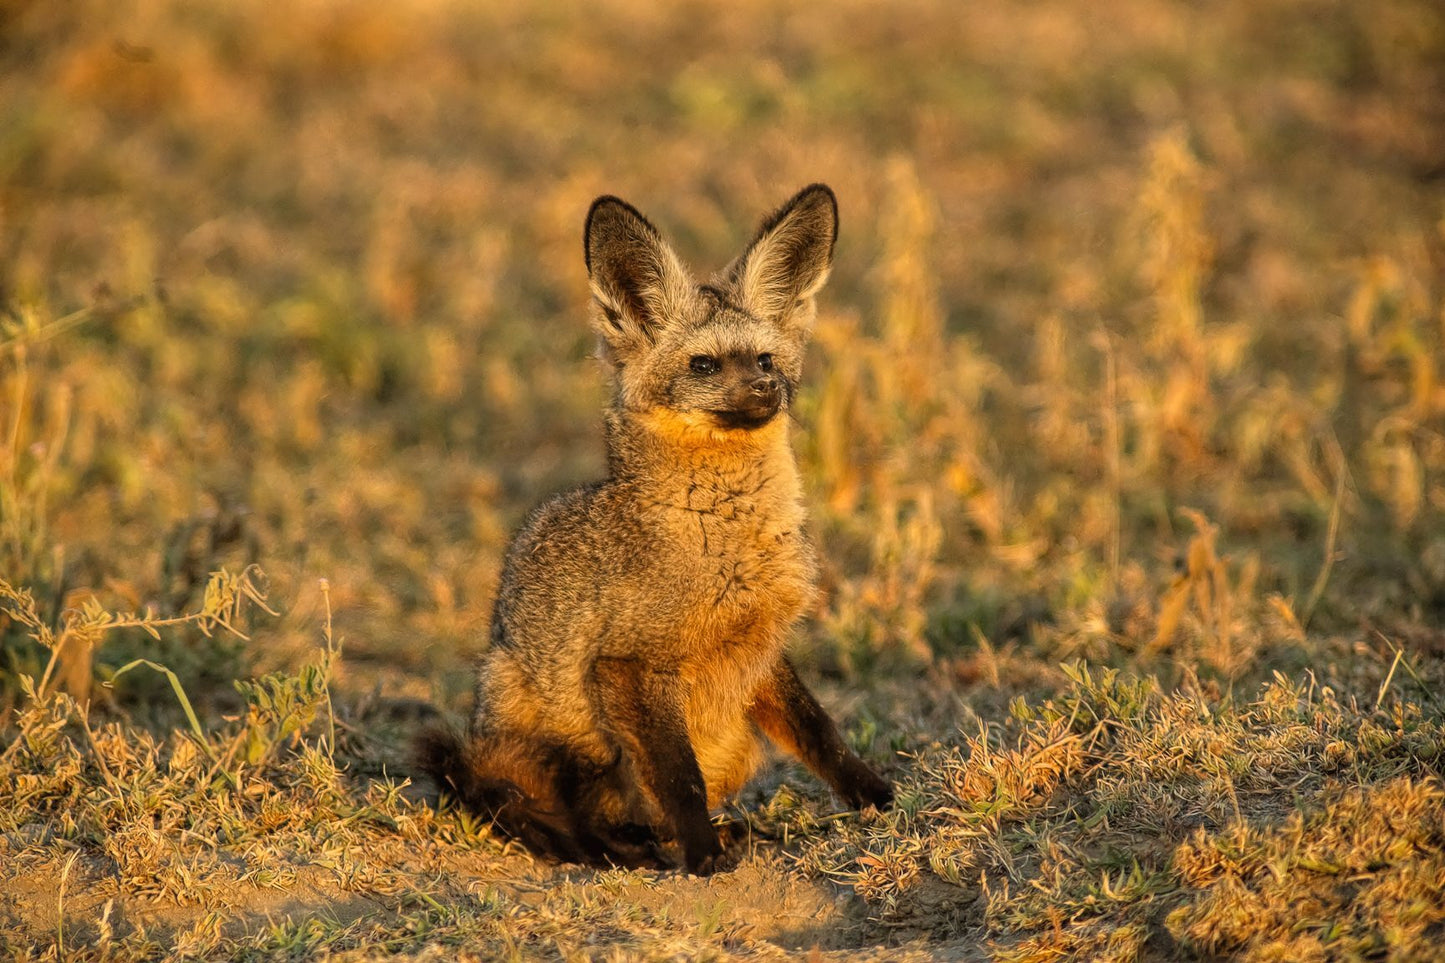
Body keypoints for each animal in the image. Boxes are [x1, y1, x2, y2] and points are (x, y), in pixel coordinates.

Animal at [422, 183, 893, 875]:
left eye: (765, 359)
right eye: (703, 365)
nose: (768, 389)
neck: (726, 544)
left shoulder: (761, 648)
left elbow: (821, 733)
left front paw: (874, 795)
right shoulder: (626, 664)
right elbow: (678, 777)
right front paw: (700, 854)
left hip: (735, 743)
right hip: (567, 750)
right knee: (567, 821)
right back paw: (638, 850)